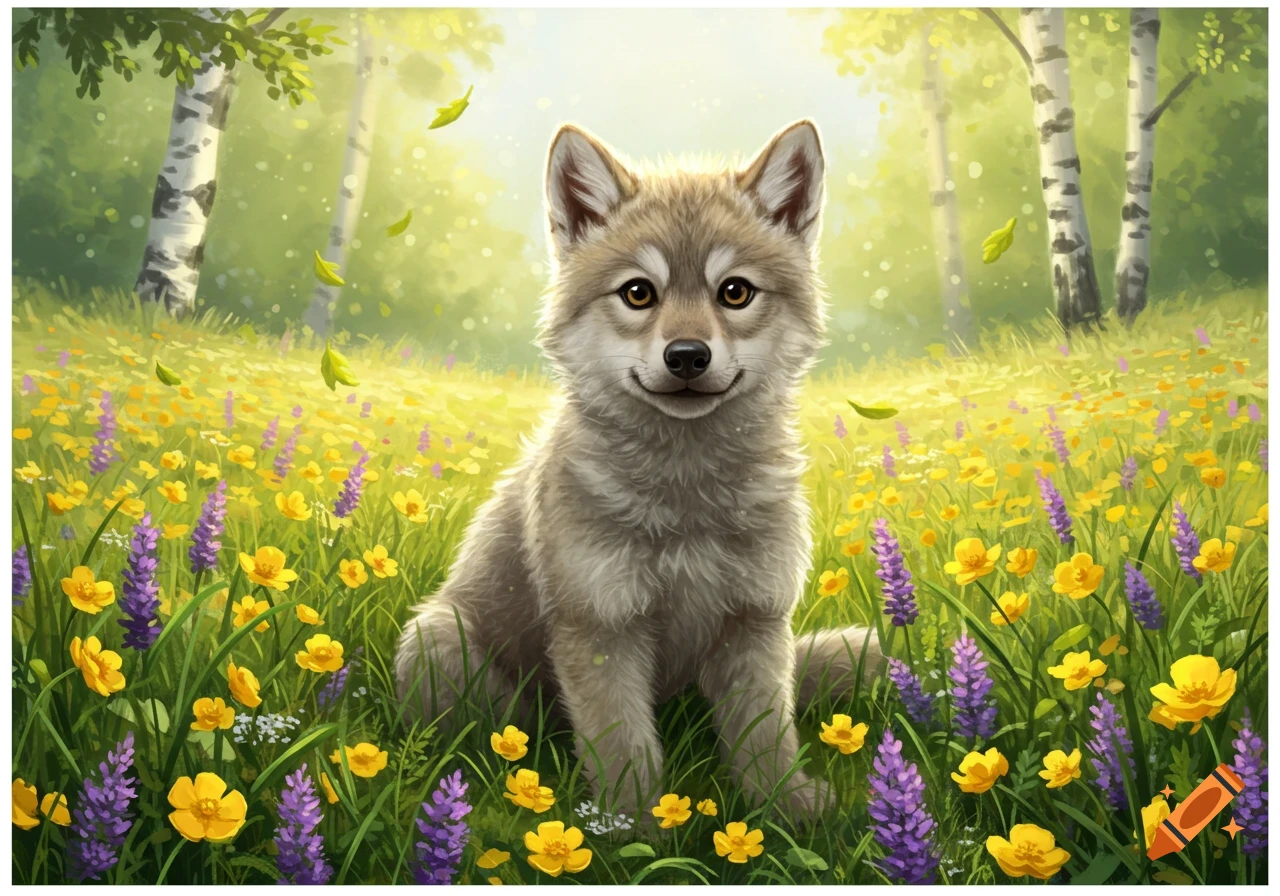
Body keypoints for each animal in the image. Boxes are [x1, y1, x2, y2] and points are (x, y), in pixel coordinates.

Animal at [395, 119, 882, 821]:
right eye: (638, 293)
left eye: (735, 292)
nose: (687, 356)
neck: (687, 498)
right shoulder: (602, 628)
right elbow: (624, 749)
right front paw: (631, 828)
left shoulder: (755, 622)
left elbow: (766, 738)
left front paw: (787, 812)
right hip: (442, 642)